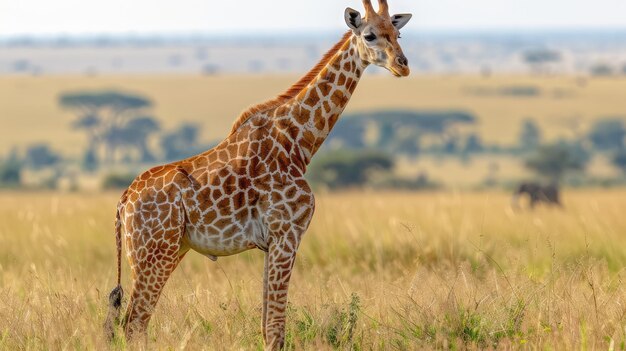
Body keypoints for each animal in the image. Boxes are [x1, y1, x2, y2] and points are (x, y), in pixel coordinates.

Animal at [105, 1, 412, 350]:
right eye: (370, 35)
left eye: (398, 33)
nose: (402, 66)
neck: (298, 142)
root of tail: (124, 200)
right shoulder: (287, 234)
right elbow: (277, 326)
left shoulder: (270, 242)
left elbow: (267, 325)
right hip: (154, 252)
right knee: (134, 322)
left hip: (166, 250)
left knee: (134, 321)